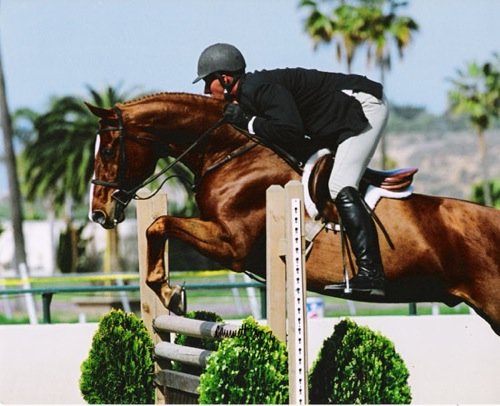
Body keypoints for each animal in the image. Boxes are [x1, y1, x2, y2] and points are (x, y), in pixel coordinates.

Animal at [88, 93, 500, 336]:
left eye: (107, 150)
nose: (98, 213)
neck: (231, 154)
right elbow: (158, 227)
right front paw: (170, 293)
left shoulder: (231, 245)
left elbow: (158, 225)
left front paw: (171, 293)